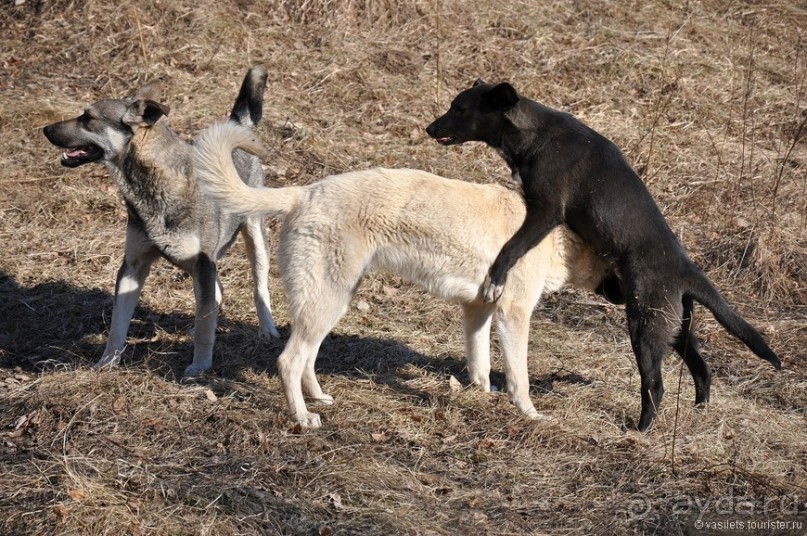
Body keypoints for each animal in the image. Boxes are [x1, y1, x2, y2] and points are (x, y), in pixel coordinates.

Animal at [193, 121, 616, 428]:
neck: (557, 236)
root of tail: (304, 192)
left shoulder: (477, 311)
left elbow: (479, 365)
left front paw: (480, 397)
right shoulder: (513, 315)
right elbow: (519, 377)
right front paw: (529, 412)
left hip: (330, 303)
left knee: (307, 359)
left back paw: (319, 398)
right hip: (327, 303)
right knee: (289, 361)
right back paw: (303, 417)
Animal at [430, 79, 784, 432]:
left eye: (460, 109)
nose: (429, 128)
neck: (536, 133)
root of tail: (687, 270)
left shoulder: (546, 211)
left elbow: (511, 248)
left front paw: (496, 279)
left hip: (645, 326)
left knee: (655, 384)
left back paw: (640, 430)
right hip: (674, 327)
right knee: (702, 369)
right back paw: (698, 411)